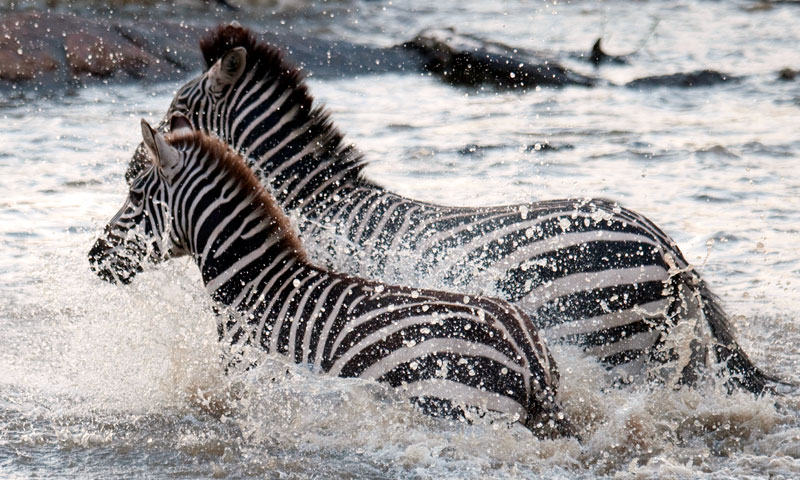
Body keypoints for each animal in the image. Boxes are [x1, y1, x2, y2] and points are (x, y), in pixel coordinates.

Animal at [87, 118, 576, 436]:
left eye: (135, 196)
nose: (93, 257)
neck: (256, 286)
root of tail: (526, 353)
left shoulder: (254, 381)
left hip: (453, 401)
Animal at [104, 23, 776, 394]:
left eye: (174, 120)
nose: (100, 259)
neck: (318, 206)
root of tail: (665, 245)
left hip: (611, 352)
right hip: (662, 358)